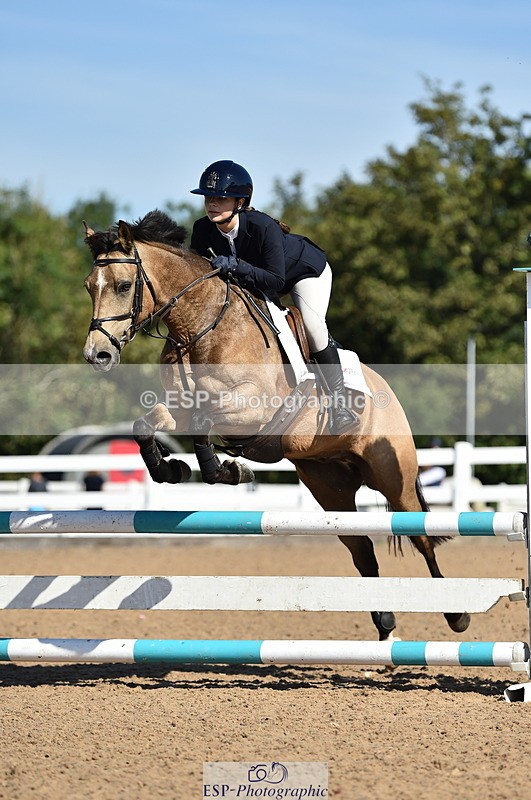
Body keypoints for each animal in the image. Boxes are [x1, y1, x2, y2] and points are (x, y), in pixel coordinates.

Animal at [82, 210, 470, 641]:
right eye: (89, 287)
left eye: (124, 285)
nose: (97, 355)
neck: (199, 327)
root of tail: (386, 388)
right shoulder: (179, 407)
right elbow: (145, 425)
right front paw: (172, 469)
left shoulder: (253, 408)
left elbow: (204, 423)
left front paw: (227, 470)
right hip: (329, 485)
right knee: (362, 550)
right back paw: (385, 625)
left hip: (393, 476)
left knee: (421, 536)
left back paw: (455, 615)